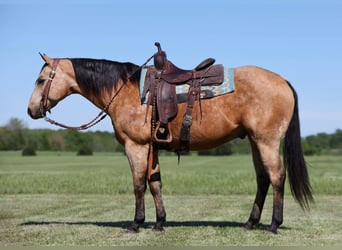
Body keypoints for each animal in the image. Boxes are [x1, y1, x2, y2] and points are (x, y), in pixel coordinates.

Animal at [28, 45, 314, 234]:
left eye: (41, 80)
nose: (31, 110)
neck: (125, 90)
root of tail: (283, 81)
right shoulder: (152, 147)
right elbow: (155, 184)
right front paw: (159, 222)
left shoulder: (136, 146)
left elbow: (138, 185)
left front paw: (136, 223)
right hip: (255, 141)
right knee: (263, 179)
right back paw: (250, 222)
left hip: (266, 141)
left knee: (276, 177)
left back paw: (274, 224)